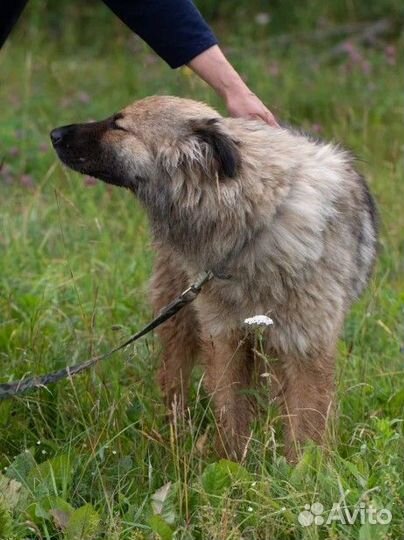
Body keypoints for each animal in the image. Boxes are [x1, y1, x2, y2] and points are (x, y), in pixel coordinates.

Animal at [49, 96, 376, 460]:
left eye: (119, 126)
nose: (54, 134)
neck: (252, 222)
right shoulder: (224, 337)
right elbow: (231, 413)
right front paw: (234, 463)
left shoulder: (305, 345)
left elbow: (306, 427)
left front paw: (304, 469)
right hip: (179, 318)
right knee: (173, 382)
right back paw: (177, 436)